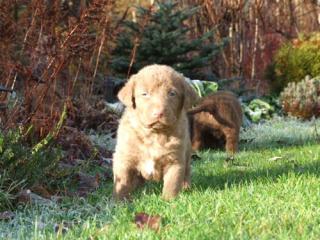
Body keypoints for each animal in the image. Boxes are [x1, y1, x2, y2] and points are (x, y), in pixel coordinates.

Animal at [112, 64, 198, 201]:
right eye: (145, 94)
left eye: (172, 93)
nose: (158, 113)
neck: (154, 135)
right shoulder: (124, 157)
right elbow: (122, 182)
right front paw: (119, 201)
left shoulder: (175, 159)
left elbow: (172, 183)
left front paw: (169, 201)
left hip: (187, 152)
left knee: (187, 172)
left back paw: (186, 188)